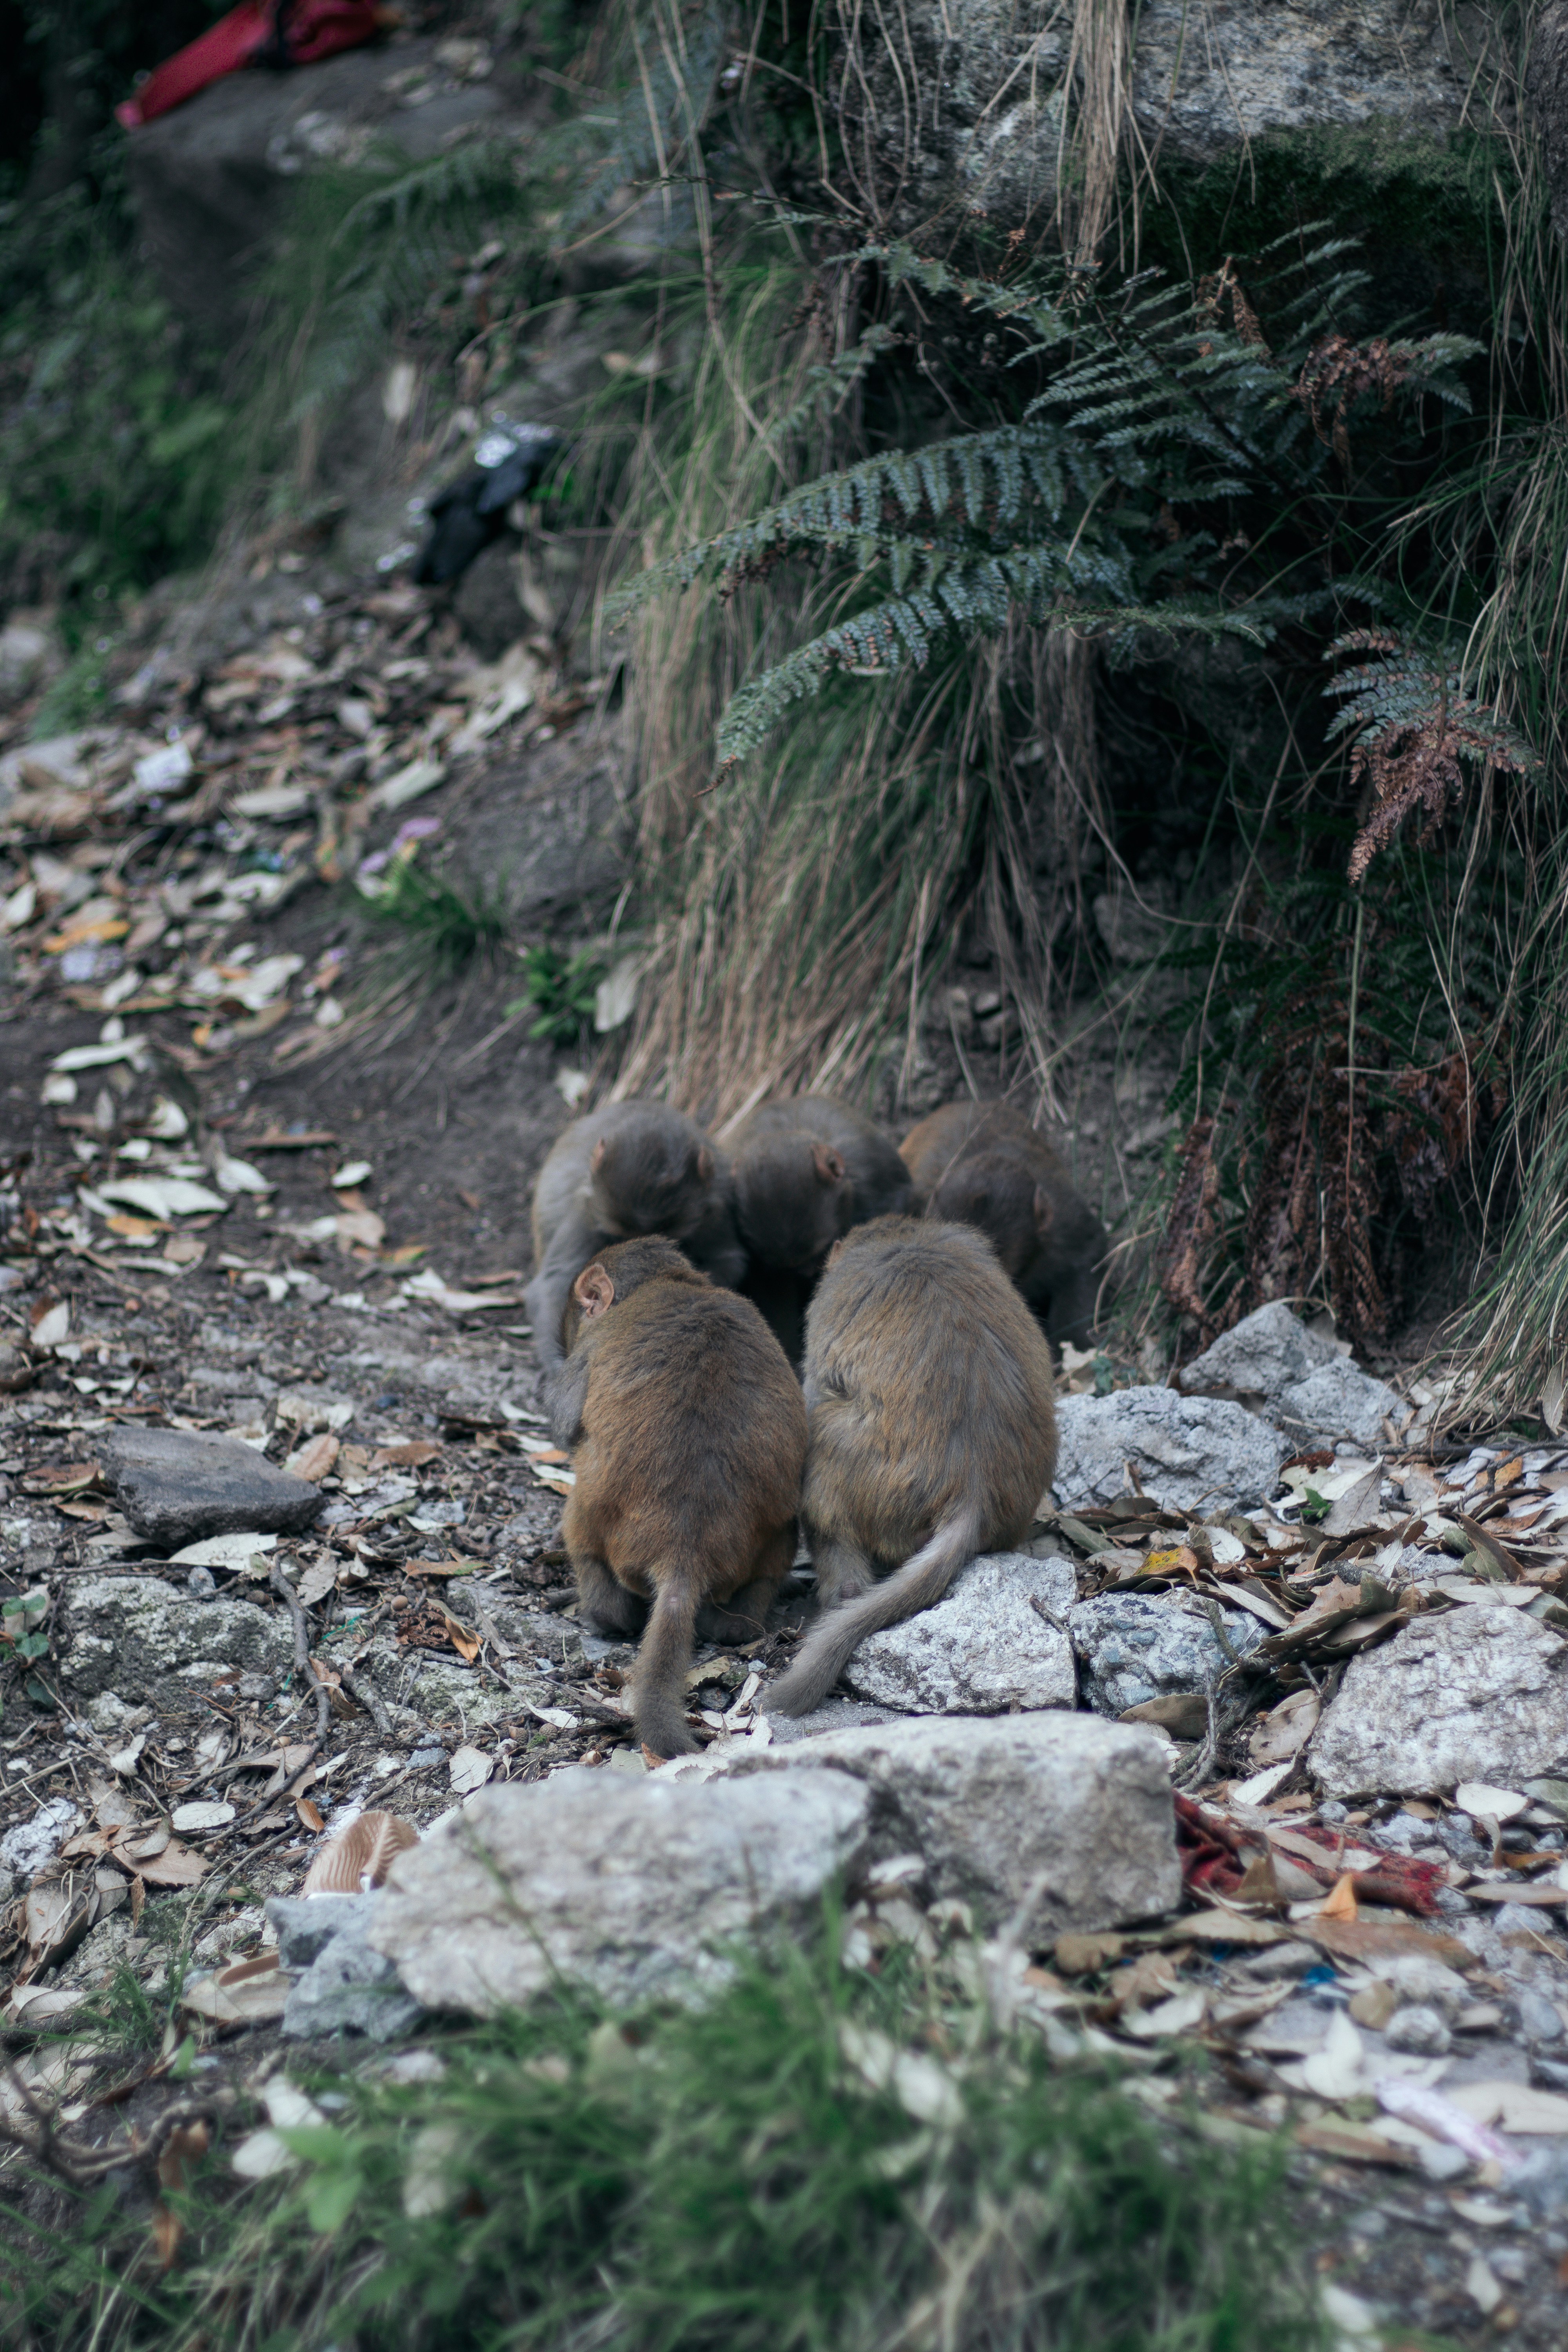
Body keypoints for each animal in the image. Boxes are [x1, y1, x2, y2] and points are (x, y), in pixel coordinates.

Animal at [547, 1235, 808, 1757]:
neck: (671, 1282)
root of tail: (684, 1551)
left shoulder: (589, 1351)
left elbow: (566, 1424)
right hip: (767, 1541)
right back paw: (741, 1621)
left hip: (596, 1520)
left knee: (583, 1535)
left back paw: (601, 1615)